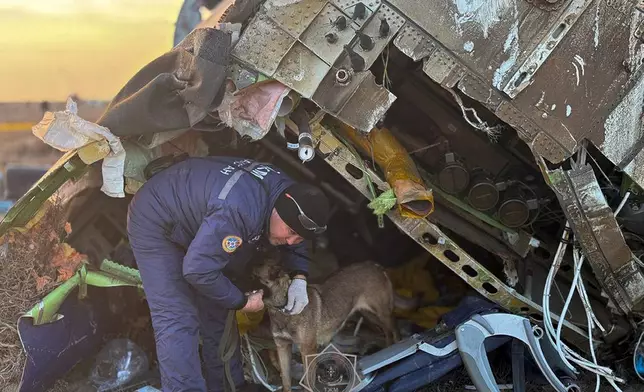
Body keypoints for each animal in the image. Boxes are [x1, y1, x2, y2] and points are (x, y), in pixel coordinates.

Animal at [253, 258, 398, 390]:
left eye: (254, 274)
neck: (283, 308)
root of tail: (375, 265)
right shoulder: (282, 346)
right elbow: (286, 380)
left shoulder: (307, 350)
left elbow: (308, 381)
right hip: (369, 314)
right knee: (383, 330)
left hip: (382, 314)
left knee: (392, 331)